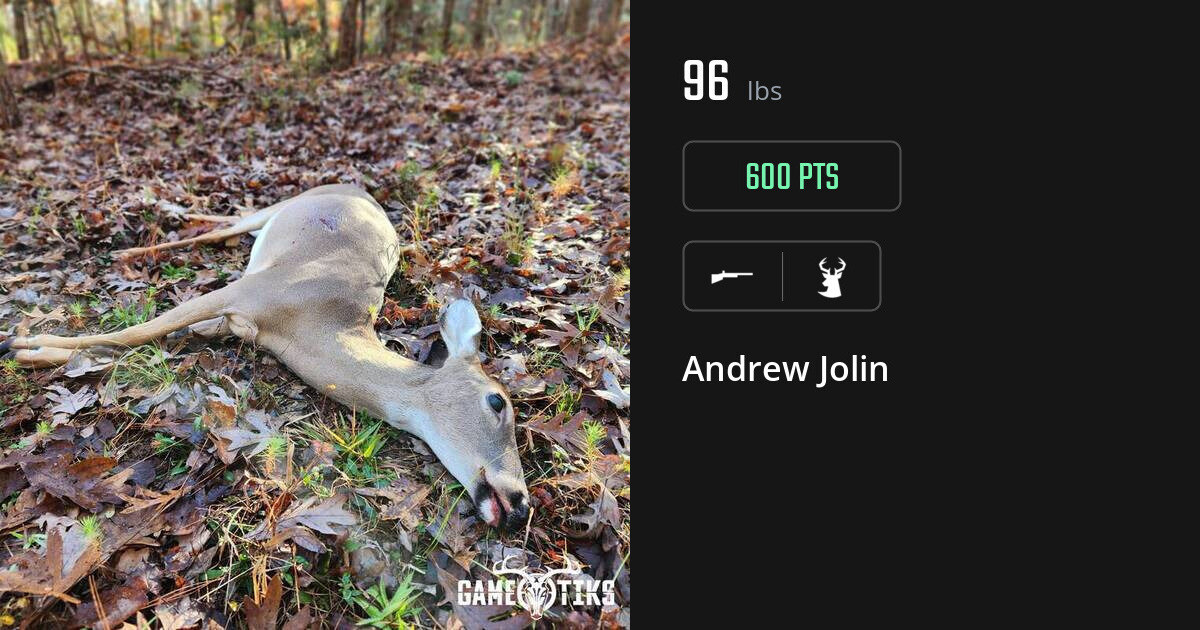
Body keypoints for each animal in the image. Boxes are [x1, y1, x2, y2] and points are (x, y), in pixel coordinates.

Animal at [0, 184, 530, 530]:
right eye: (498, 402)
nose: (521, 503)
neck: (313, 321)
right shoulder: (254, 288)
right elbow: (137, 331)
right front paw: (28, 347)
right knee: (217, 232)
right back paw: (136, 245)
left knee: (220, 231)